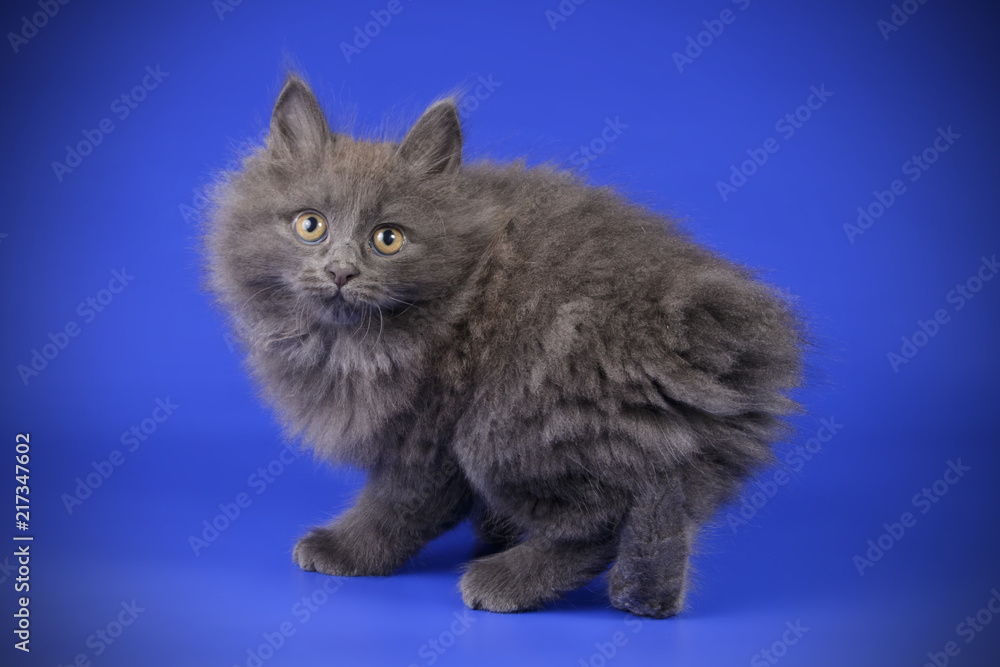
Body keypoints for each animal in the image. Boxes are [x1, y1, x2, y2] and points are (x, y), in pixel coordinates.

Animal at [203, 72, 804, 616]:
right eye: (311, 225)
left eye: (388, 238)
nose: (340, 272)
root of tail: (720, 337)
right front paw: (490, 527)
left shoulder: (432, 432)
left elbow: (398, 504)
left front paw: (346, 550)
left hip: (514, 421)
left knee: (603, 521)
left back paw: (504, 580)